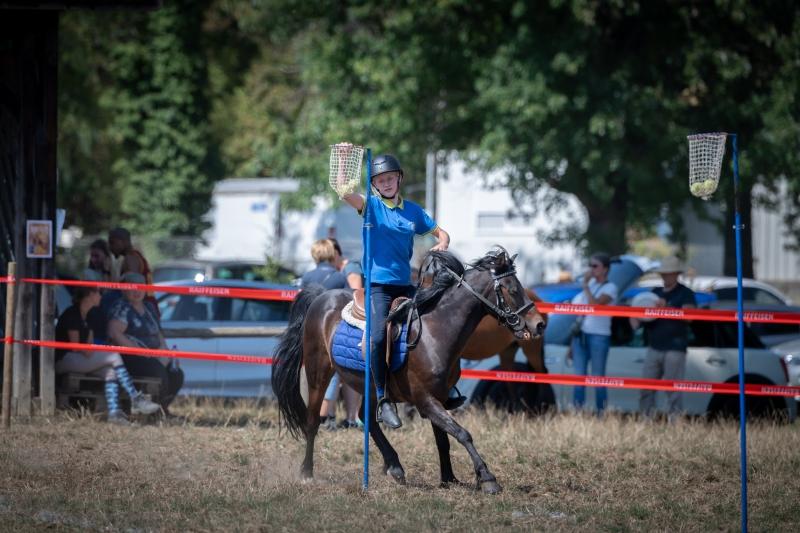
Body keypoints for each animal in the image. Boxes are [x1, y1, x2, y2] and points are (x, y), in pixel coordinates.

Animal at [274, 247, 544, 492]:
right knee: (312, 421)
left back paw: (394, 465)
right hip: (318, 374)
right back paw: (307, 472)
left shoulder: (439, 398)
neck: (436, 332)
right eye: (512, 289)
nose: (539, 324)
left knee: (367, 419)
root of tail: (321, 296)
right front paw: (487, 478)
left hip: (369, 386)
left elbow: (443, 440)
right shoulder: (425, 400)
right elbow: (462, 433)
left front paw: (449, 478)